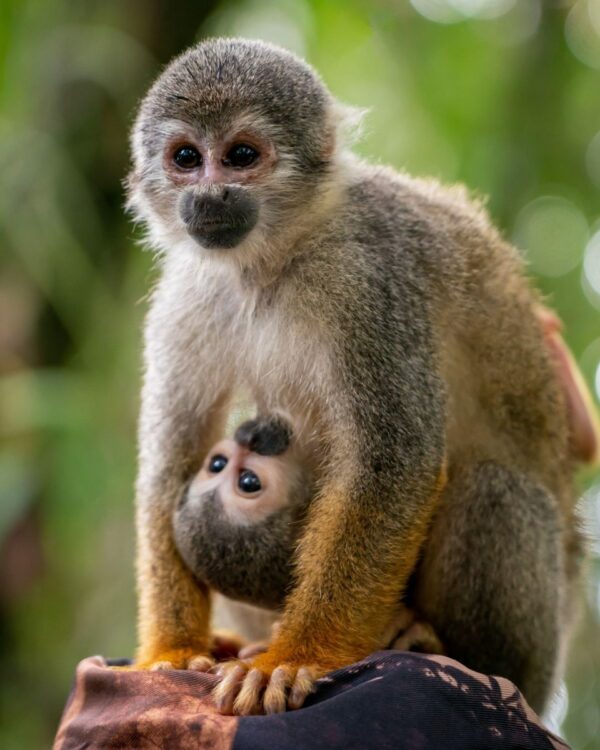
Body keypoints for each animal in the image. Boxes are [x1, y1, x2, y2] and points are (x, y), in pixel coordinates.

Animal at [125, 36, 596, 716]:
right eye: (186, 158)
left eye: (240, 156)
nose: (210, 196)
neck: (272, 259)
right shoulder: (189, 294)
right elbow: (172, 464)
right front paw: (173, 649)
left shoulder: (368, 277)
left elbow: (395, 462)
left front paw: (295, 657)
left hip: (542, 649)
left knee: (494, 490)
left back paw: (460, 653)